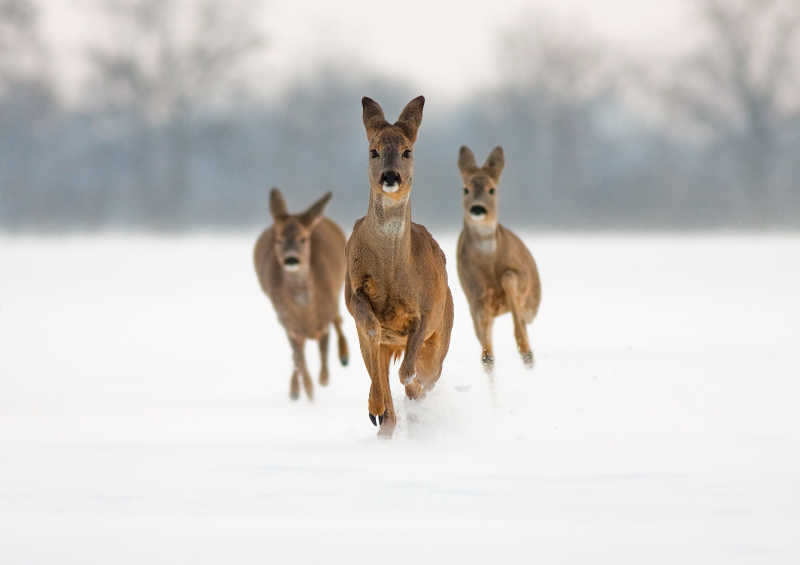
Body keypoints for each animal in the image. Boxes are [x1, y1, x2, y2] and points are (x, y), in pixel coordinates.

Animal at [253, 189, 346, 400]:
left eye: (303, 239)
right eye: (279, 240)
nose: (291, 259)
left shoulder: (324, 319)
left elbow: (323, 356)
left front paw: (323, 380)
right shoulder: (289, 324)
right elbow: (300, 362)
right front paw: (308, 394)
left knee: (339, 319)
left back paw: (345, 356)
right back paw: (295, 390)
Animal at [346, 96, 454, 436]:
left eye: (408, 151)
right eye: (374, 150)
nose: (390, 176)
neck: (393, 270)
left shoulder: (429, 309)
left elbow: (409, 371)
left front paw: (413, 390)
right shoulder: (352, 291)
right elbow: (371, 327)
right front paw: (377, 408)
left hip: (444, 329)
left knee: (426, 372)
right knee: (380, 373)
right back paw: (381, 416)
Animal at [456, 145, 544, 372]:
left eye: (492, 189)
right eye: (465, 189)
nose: (478, 208)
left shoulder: (521, 276)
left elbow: (508, 278)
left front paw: (525, 349)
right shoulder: (474, 296)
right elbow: (484, 335)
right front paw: (488, 357)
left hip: (533, 304)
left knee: (524, 318)